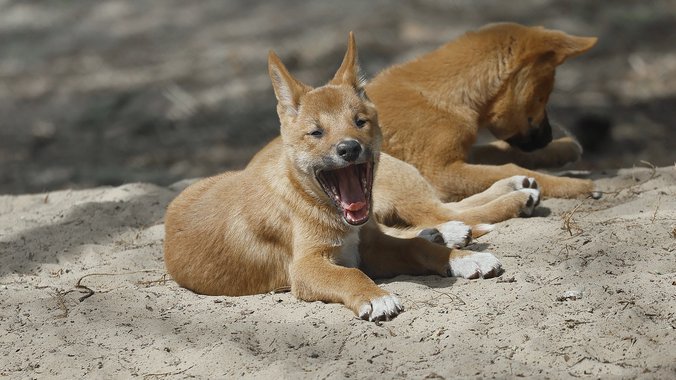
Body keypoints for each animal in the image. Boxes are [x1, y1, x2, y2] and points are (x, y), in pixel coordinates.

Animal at [162, 34, 502, 322]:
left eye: (360, 122)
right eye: (316, 133)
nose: (349, 148)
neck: (312, 200)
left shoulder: (372, 246)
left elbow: (417, 248)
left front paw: (463, 258)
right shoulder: (306, 266)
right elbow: (350, 274)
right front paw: (375, 297)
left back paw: (445, 233)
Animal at [368, 22, 600, 200]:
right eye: (544, 95)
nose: (549, 137)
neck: (446, 96)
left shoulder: (465, 153)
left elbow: (504, 151)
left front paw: (563, 147)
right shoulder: (441, 172)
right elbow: (511, 168)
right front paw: (577, 185)